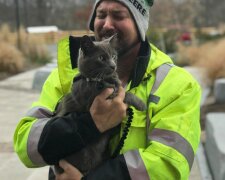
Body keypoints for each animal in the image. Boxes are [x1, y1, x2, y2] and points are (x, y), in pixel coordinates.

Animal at [53, 34, 147, 174]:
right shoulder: (99, 98)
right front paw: (141, 104)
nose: (113, 66)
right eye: (101, 58)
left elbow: (122, 90)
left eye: (114, 56)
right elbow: (125, 93)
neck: (99, 80)